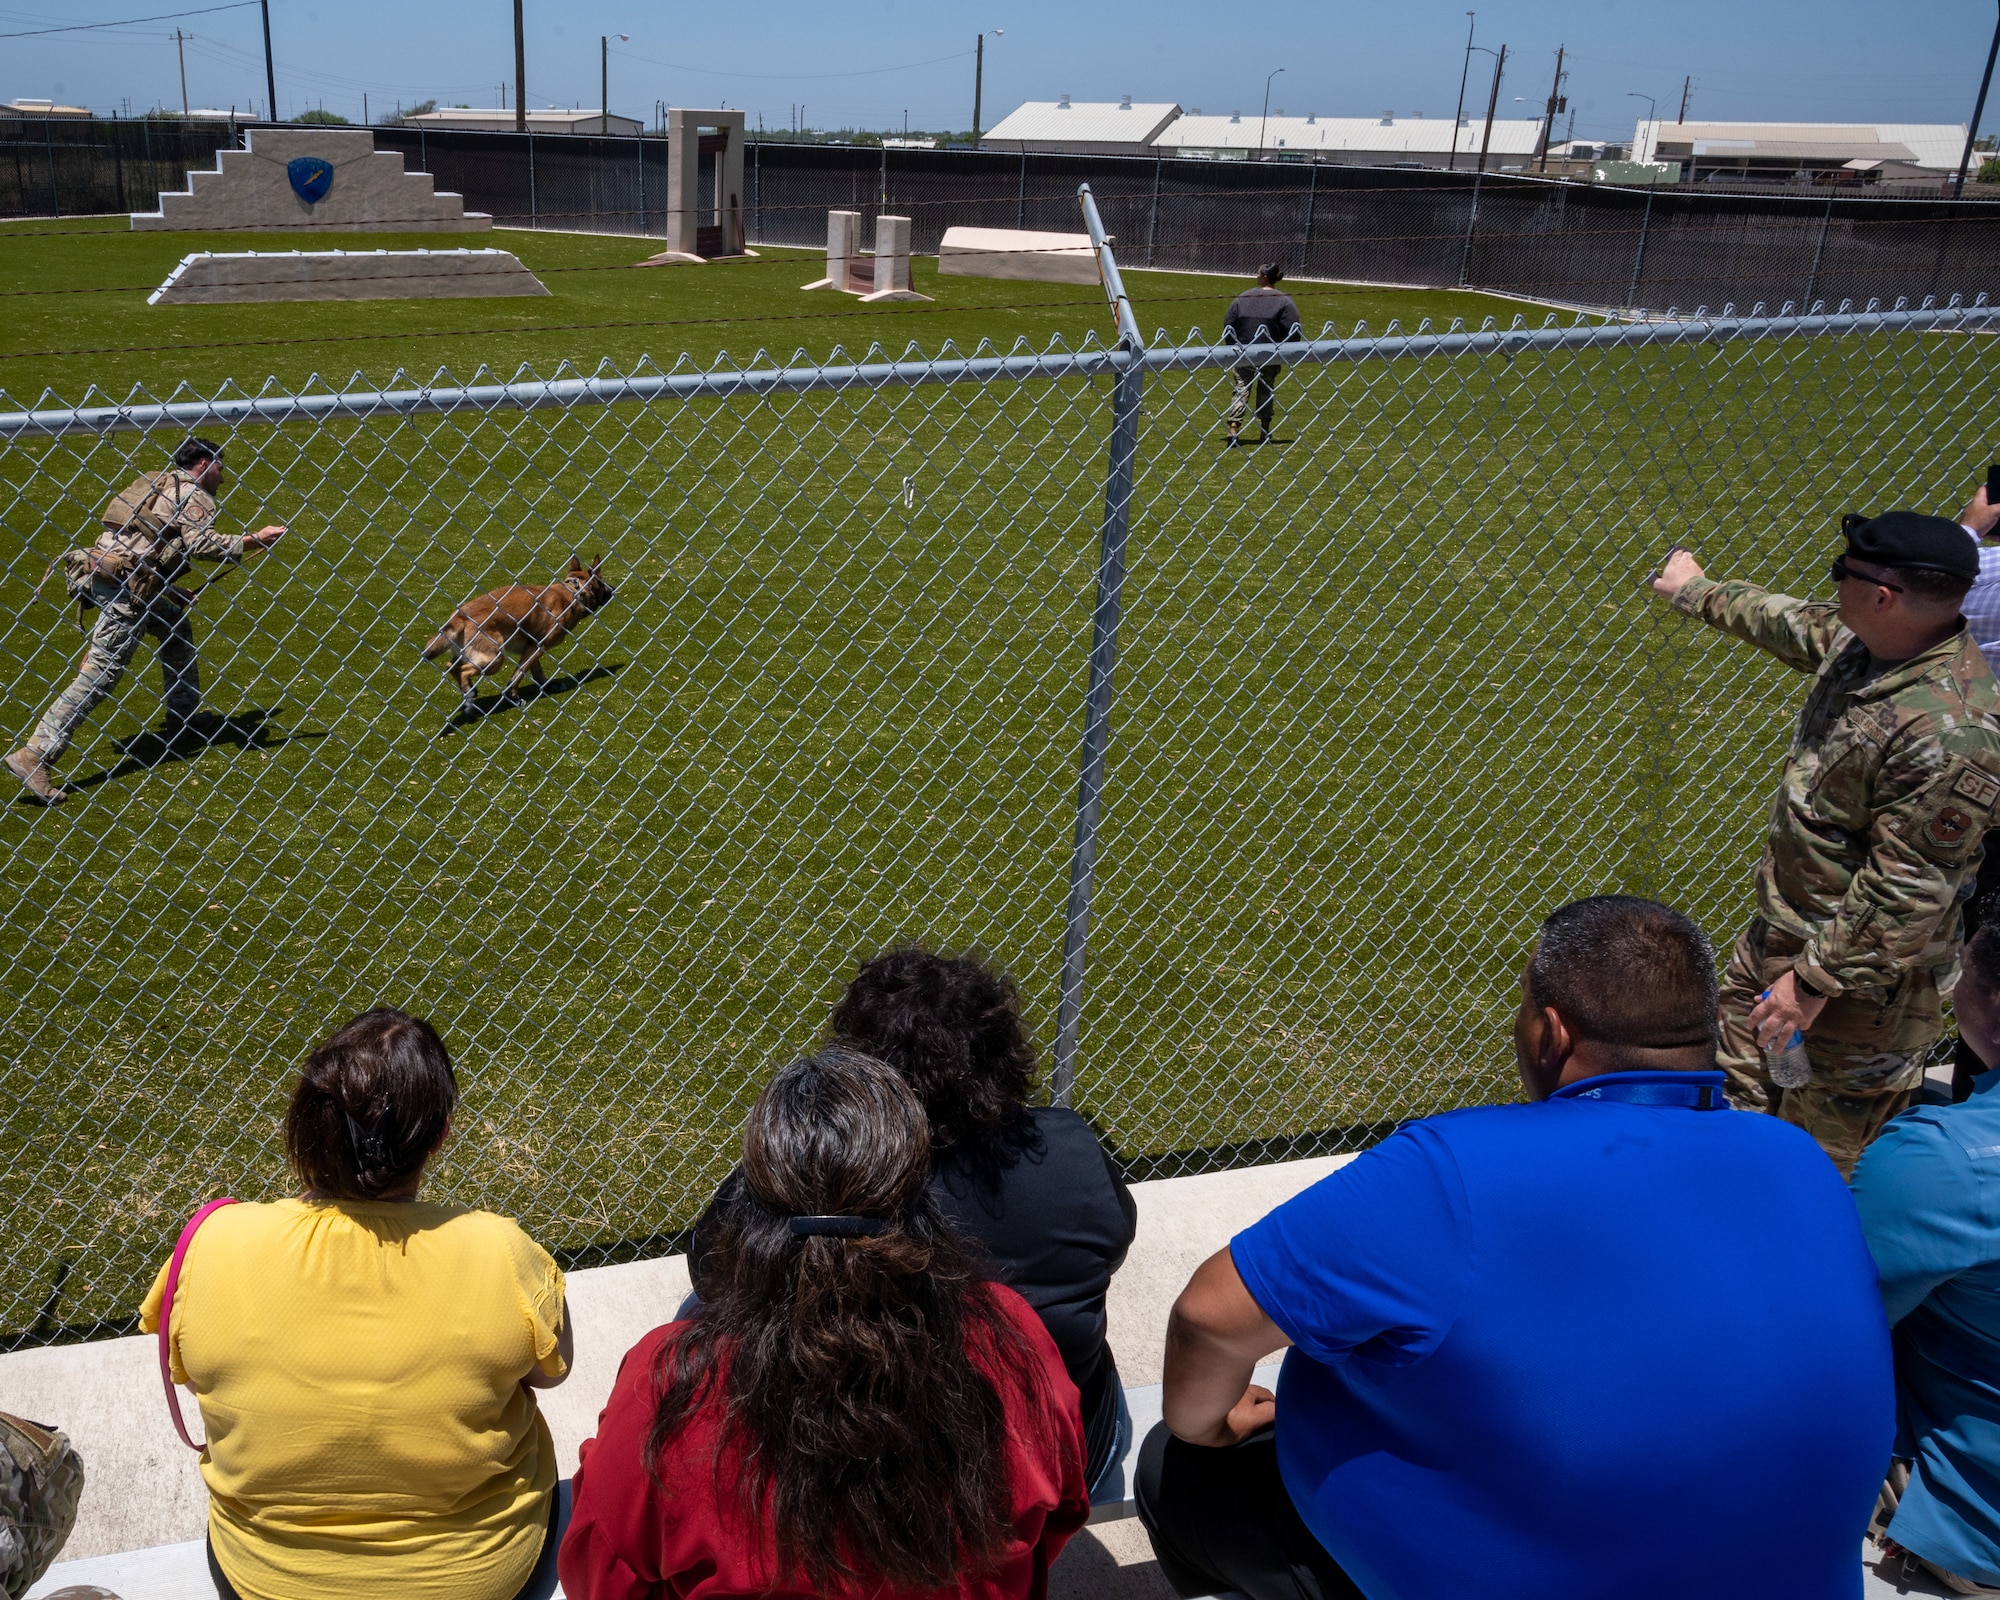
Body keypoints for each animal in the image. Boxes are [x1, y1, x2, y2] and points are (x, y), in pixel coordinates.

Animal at [420, 556, 608, 720]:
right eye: (603, 583)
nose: (612, 590)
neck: (573, 591)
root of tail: (459, 617)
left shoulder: (531, 646)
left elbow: (536, 670)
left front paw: (547, 685)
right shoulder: (538, 646)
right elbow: (519, 674)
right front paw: (514, 697)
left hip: (468, 653)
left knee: (451, 666)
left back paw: (467, 692)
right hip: (494, 658)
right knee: (462, 670)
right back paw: (469, 691)